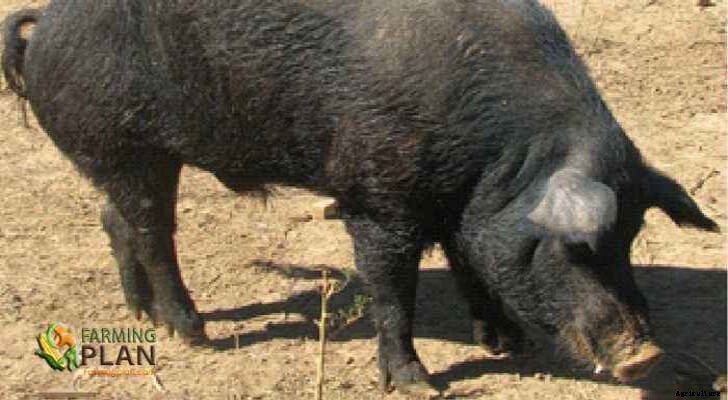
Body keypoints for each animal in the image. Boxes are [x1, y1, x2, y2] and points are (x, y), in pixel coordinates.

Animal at [2, 0, 719, 393]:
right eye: (575, 247)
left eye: (630, 238)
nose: (646, 353)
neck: (498, 164)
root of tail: (48, 21)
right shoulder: (377, 199)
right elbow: (392, 289)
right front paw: (418, 385)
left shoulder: (459, 204)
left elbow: (468, 262)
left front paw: (504, 344)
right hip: (129, 146)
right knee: (153, 231)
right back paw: (193, 333)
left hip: (121, 158)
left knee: (114, 218)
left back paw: (143, 315)